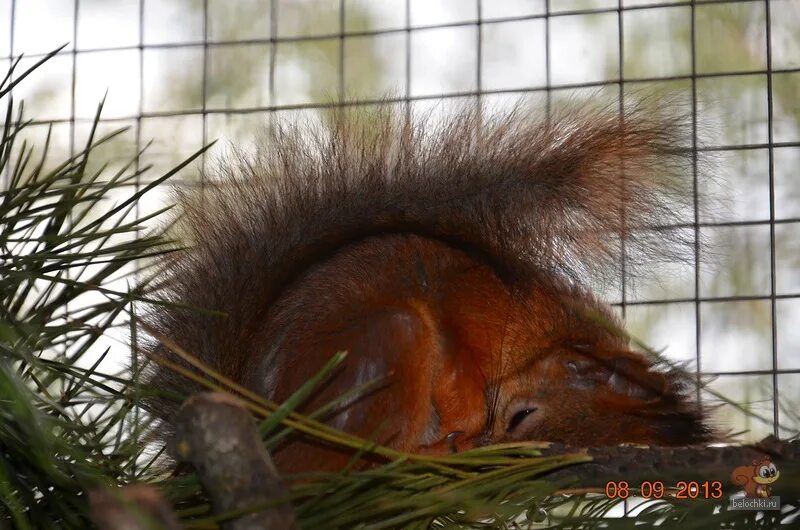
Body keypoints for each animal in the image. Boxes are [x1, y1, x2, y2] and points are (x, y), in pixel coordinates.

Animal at [142, 100, 712, 470]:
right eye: (521, 416)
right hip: (387, 348)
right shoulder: (476, 302)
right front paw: (467, 420)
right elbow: (460, 360)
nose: (491, 447)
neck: (549, 331)